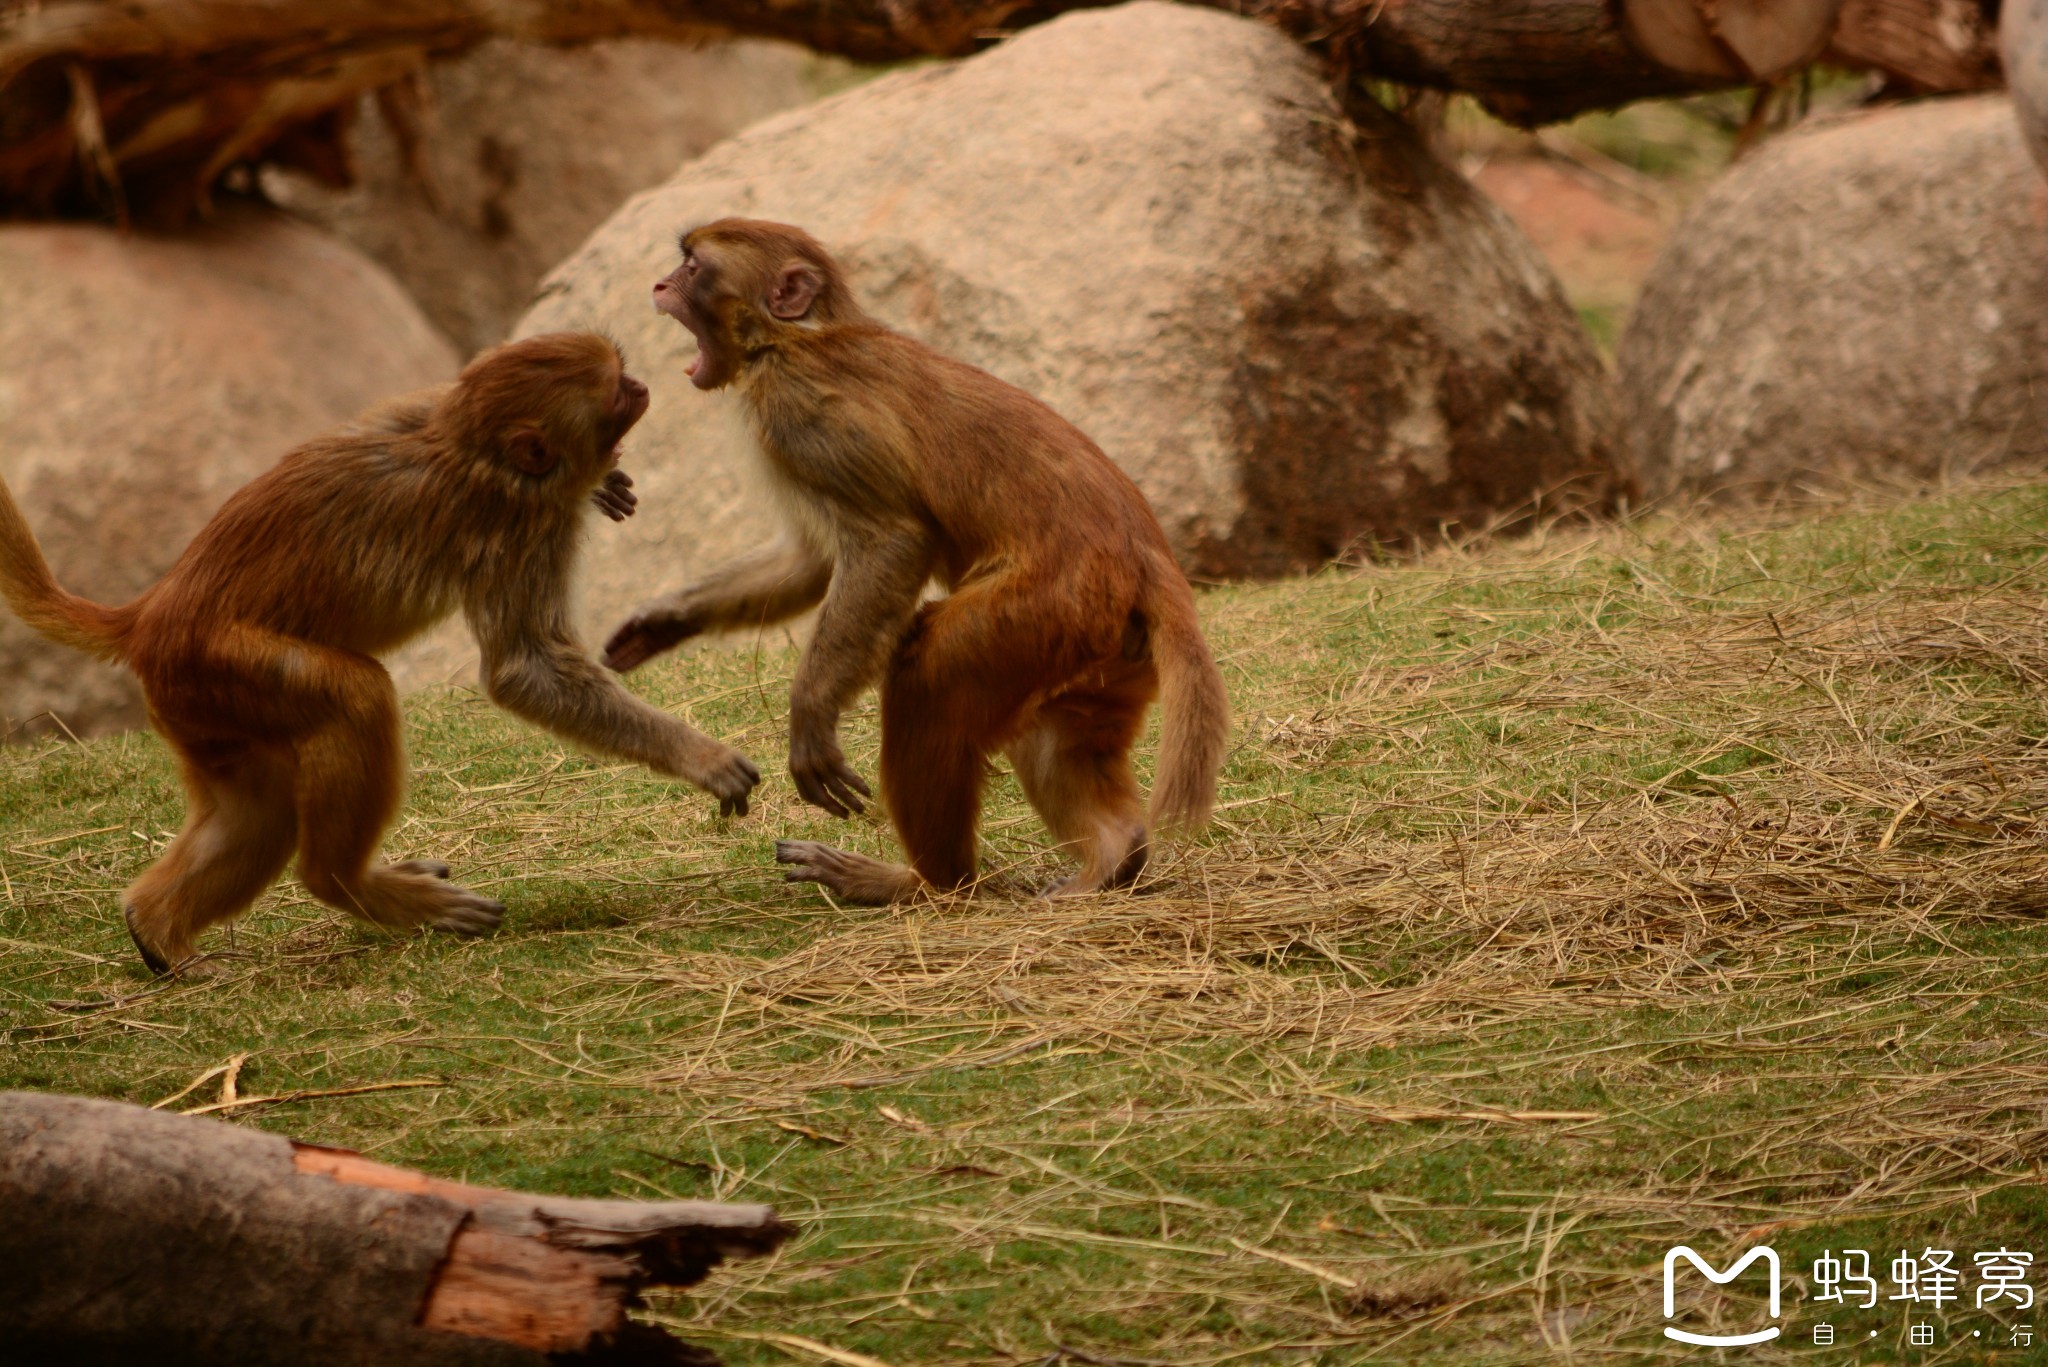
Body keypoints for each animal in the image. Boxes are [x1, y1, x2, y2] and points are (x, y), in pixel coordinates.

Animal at [0, 332, 761, 971]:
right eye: (615, 391)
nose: (642, 383)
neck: (469, 448)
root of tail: (150, 614)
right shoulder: (518, 523)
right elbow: (525, 670)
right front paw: (700, 757)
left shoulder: (430, 413)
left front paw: (608, 485)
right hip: (220, 662)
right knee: (355, 697)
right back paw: (345, 884)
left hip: (197, 703)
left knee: (259, 812)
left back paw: (158, 930)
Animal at [598, 219, 1220, 901]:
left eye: (692, 267)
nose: (659, 284)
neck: (796, 336)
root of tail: (1150, 560)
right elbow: (812, 560)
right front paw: (661, 622)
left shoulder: (798, 410)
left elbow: (891, 540)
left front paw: (810, 714)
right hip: (1103, 647)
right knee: (1055, 734)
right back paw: (1114, 855)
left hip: (1051, 604)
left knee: (930, 675)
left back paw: (926, 882)